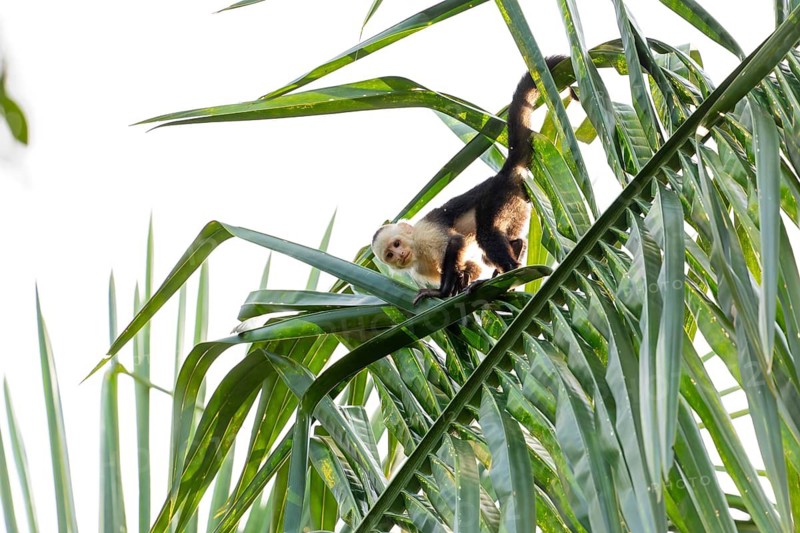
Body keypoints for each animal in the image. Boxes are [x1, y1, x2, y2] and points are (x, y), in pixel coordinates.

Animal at [372, 55, 569, 304]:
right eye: (389, 254)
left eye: (397, 244)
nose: (399, 255)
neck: (416, 250)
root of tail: (503, 174)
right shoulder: (419, 269)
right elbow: (469, 265)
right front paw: (459, 283)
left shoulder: (425, 234)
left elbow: (456, 242)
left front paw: (443, 291)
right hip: (518, 205)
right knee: (498, 245)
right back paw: (513, 253)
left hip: (498, 196)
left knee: (485, 233)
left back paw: (510, 270)